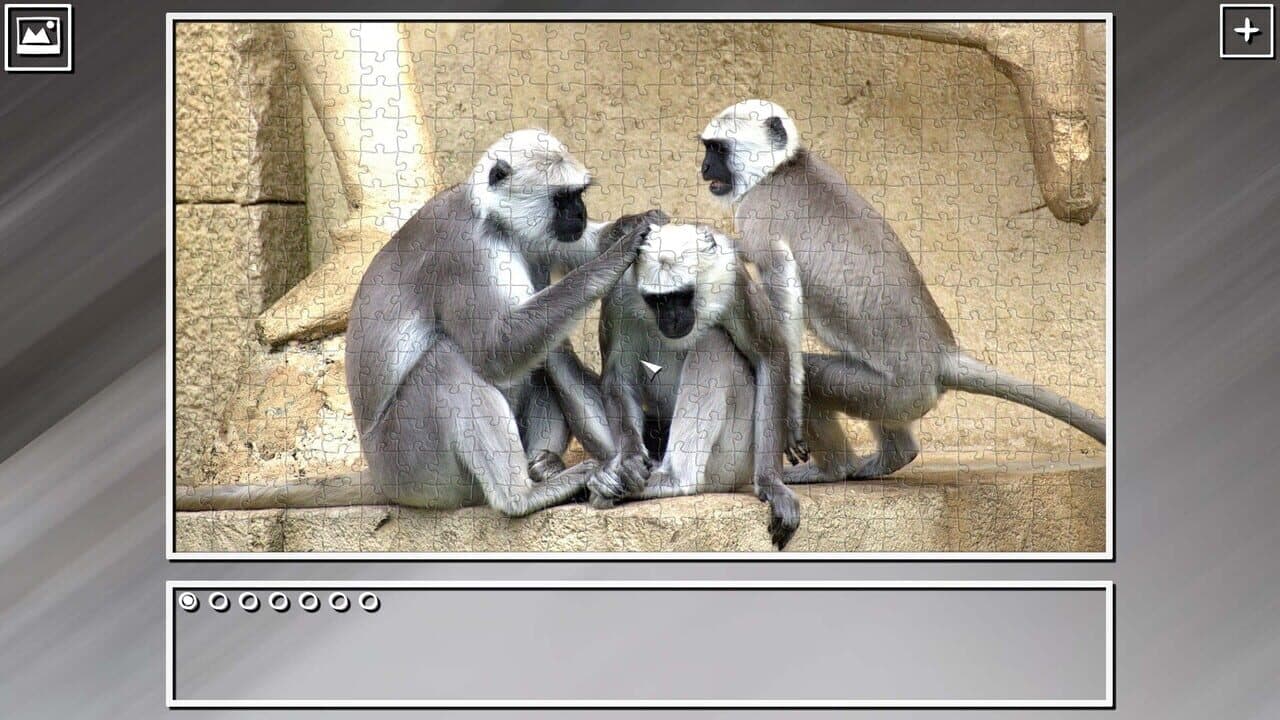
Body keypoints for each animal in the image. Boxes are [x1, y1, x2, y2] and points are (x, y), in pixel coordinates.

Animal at [176, 129, 662, 516]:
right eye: (563, 198)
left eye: (578, 196)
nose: (579, 214)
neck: (492, 219)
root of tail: (378, 473)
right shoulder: (464, 251)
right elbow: (495, 350)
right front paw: (615, 259)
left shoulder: (536, 238)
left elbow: (577, 251)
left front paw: (634, 224)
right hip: (413, 464)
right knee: (450, 361)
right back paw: (522, 496)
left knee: (548, 350)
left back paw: (556, 468)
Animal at [586, 221, 804, 549]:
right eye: (659, 301)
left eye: (682, 296)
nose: (673, 319)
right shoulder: (619, 291)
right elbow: (616, 377)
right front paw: (630, 460)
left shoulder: (731, 277)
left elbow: (771, 354)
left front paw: (771, 483)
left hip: (733, 458)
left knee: (714, 341)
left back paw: (674, 479)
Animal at [698, 99, 1106, 484]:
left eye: (717, 149)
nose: (704, 169)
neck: (782, 168)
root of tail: (940, 356)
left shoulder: (757, 214)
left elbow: (782, 289)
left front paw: (791, 412)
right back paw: (894, 456)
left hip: (896, 393)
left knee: (814, 375)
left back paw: (833, 469)